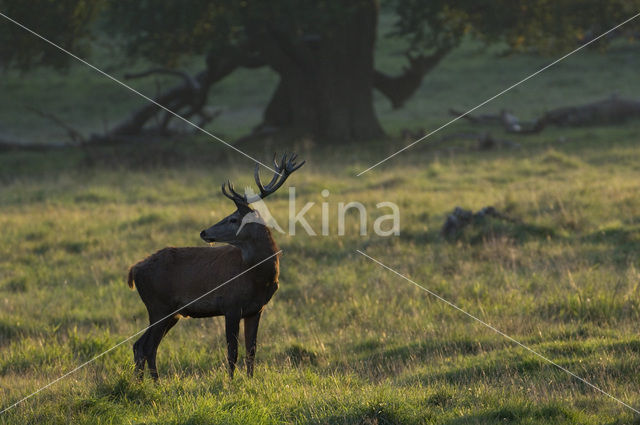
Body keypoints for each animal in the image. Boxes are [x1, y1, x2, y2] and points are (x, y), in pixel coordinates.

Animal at [127, 154, 304, 380]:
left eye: (233, 218)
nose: (204, 232)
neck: (260, 277)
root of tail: (134, 270)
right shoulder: (231, 305)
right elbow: (232, 352)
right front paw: (231, 383)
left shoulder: (256, 309)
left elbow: (251, 351)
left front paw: (250, 380)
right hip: (158, 305)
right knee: (146, 346)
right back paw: (153, 383)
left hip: (171, 312)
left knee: (141, 345)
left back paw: (143, 383)